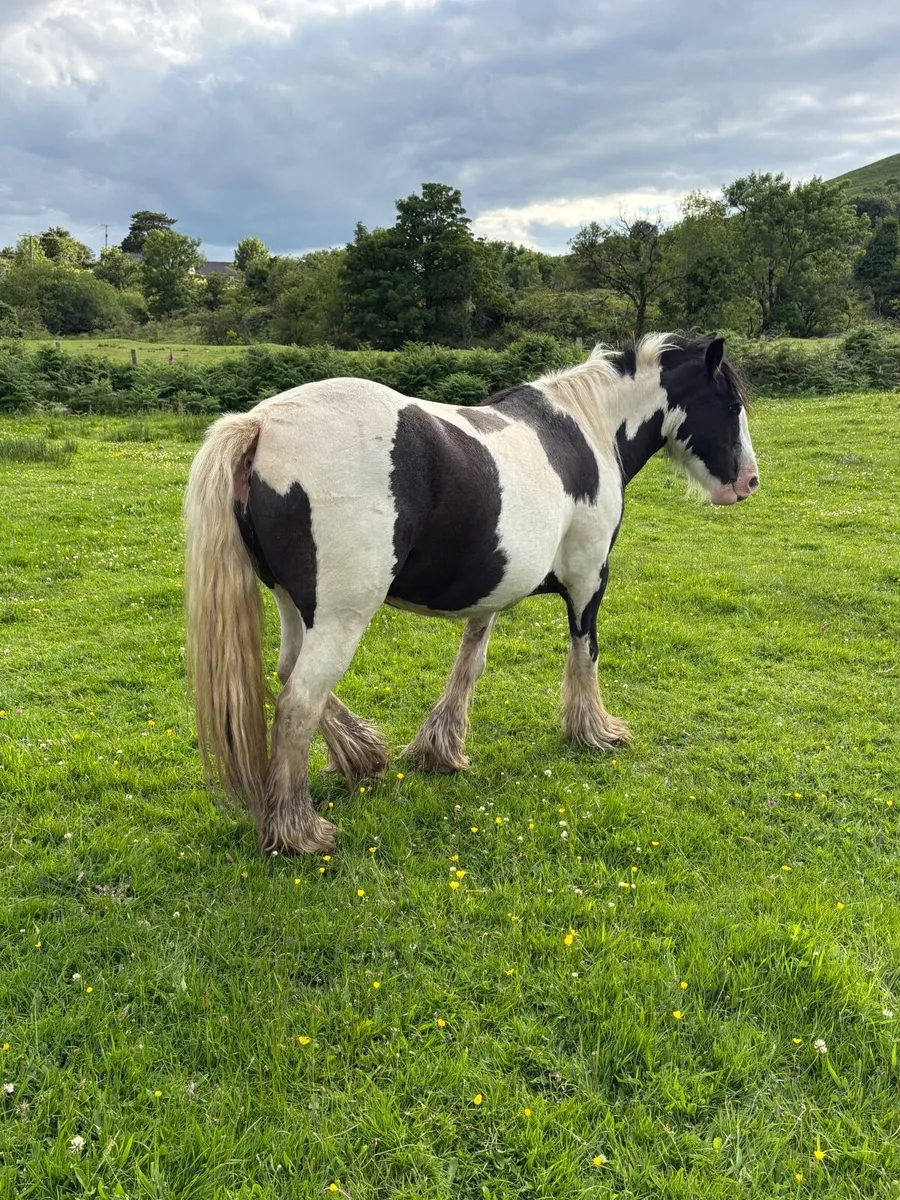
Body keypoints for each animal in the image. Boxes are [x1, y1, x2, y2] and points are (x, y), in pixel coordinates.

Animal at [184, 333, 759, 857]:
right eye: (732, 405)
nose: (749, 482)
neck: (586, 427)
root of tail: (262, 425)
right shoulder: (589, 579)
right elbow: (585, 654)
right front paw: (594, 730)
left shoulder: (492, 594)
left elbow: (469, 664)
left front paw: (440, 749)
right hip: (341, 618)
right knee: (299, 701)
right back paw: (297, 830)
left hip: (294, 604)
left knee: (287, 673)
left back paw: (362, 755)